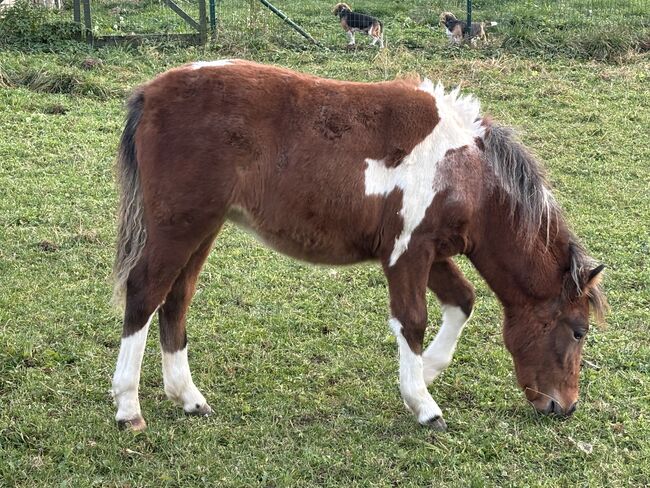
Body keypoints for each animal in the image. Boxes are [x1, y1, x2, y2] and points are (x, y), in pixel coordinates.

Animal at [110, 60, 604, 430]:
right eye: (578, 331)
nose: (565, 406)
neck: (467, 172)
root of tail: (150, 93)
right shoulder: (407, 253)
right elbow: (412, 320)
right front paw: (424, 405)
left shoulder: (431, 252)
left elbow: (462, 301)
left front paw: (424, 374)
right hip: (178, 227)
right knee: (145, 293)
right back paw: (128, 409)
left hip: (203, 229)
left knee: (176, 299)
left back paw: (188, 398)